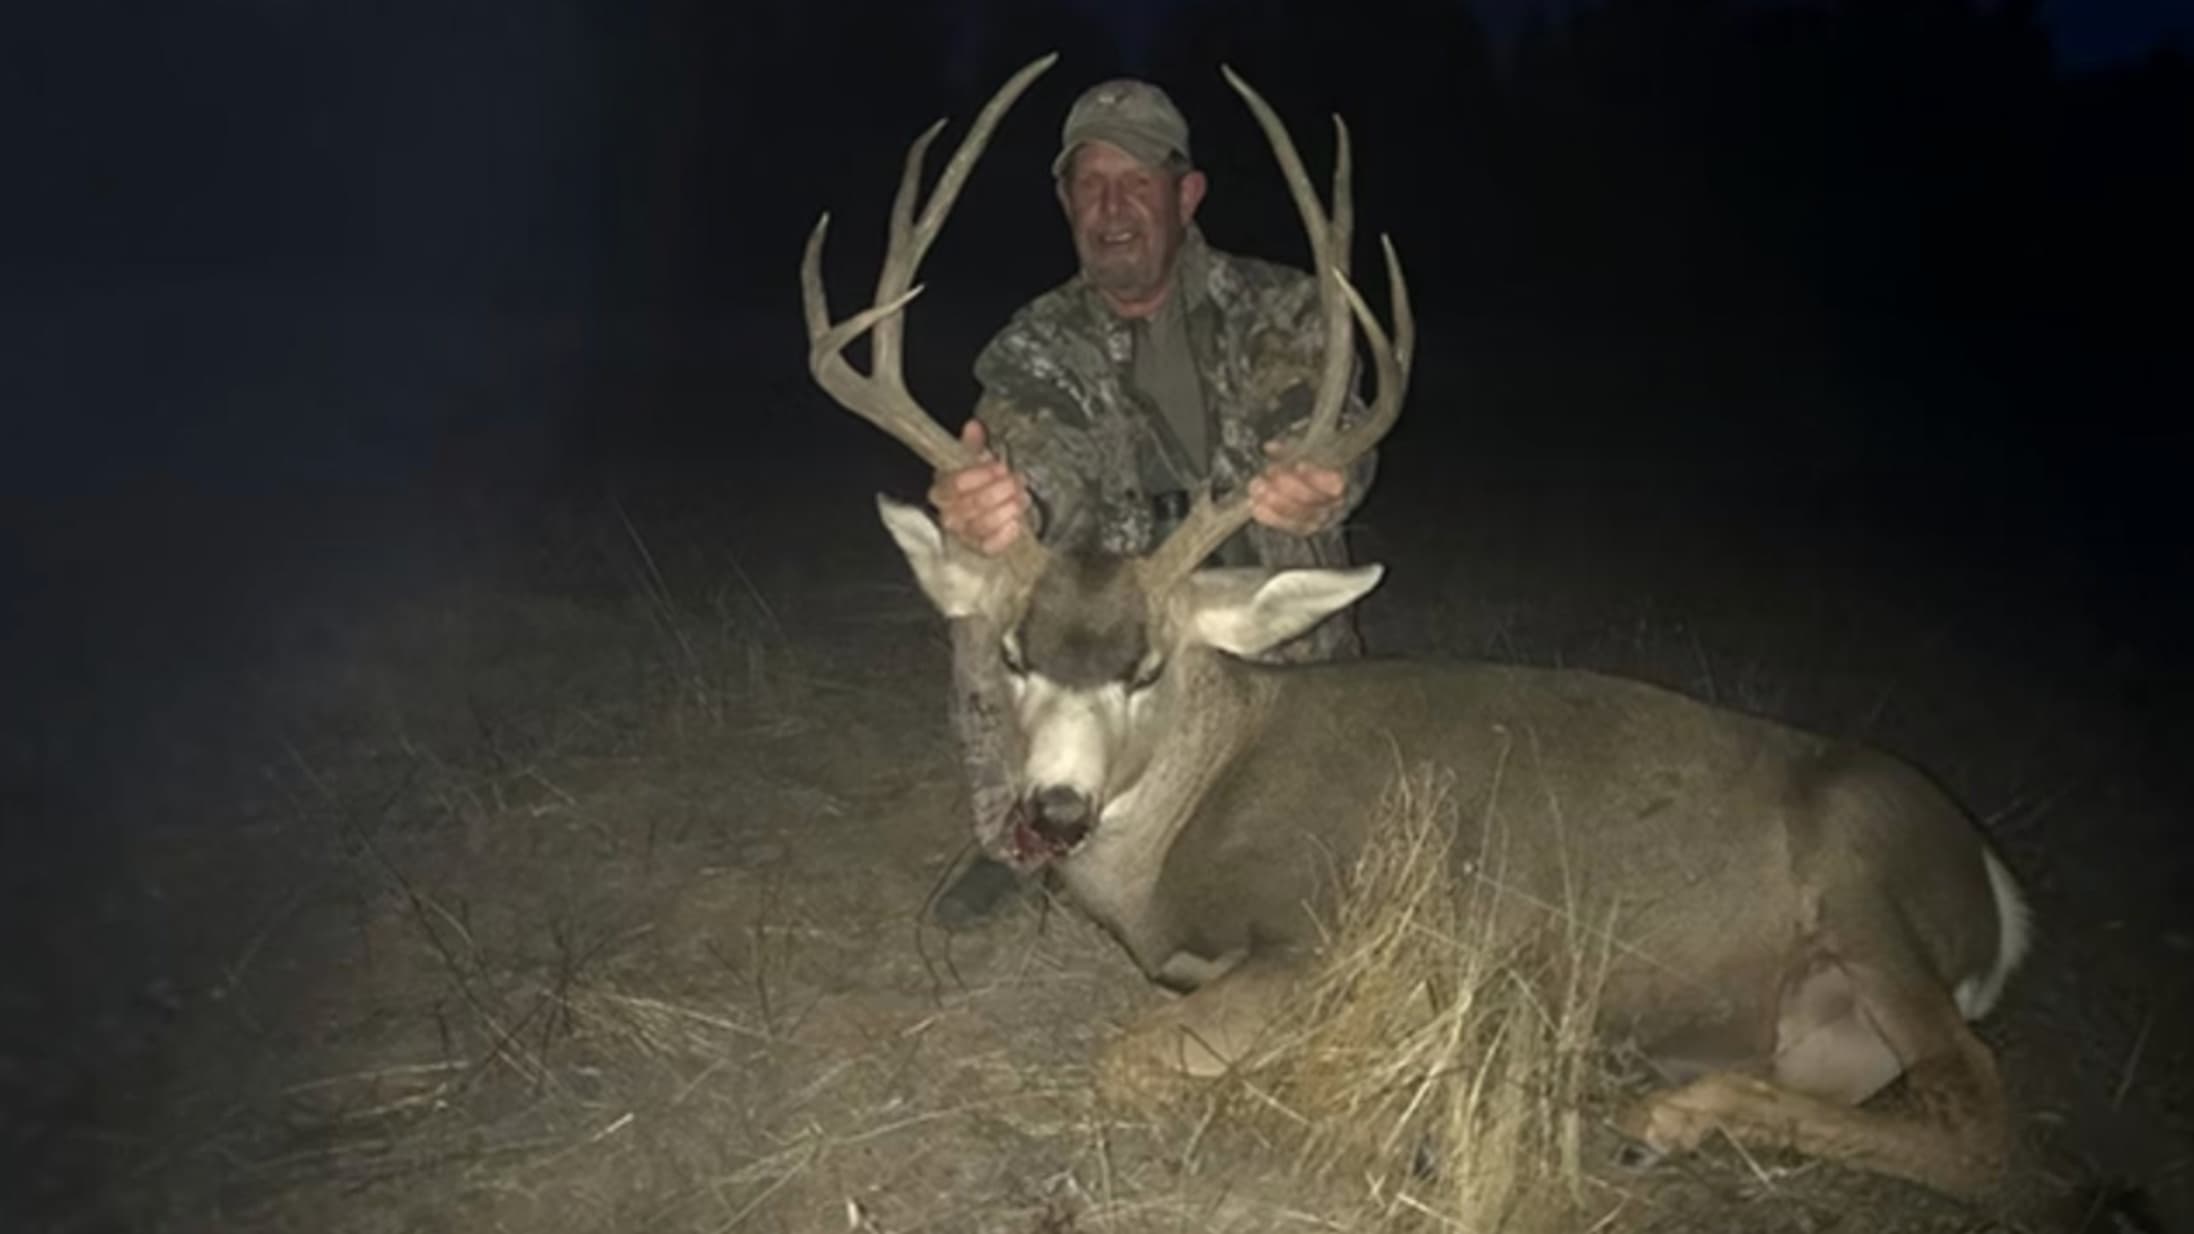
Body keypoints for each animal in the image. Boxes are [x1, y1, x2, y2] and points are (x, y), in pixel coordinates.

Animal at [800, 53, 2033, 1202]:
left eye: (1145, 668)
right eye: (1014, 656)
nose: (1053, 811)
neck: (1190, 816)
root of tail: (1996, 887)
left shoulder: (1325, 930)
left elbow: (1131, 1057)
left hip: (1872, 894)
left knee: (1984, 1121)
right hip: (1828, 1024)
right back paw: (1664, 1113)